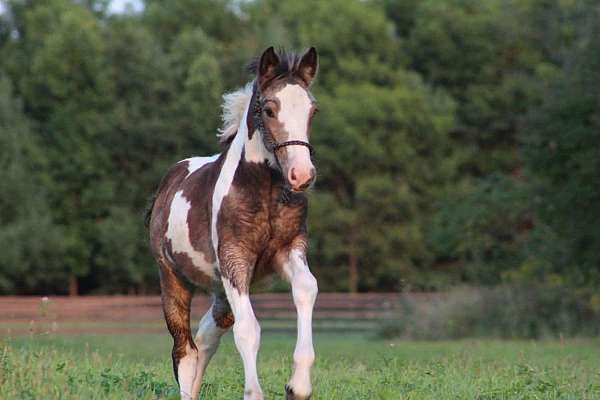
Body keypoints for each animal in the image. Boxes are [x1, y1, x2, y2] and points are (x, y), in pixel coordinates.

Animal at [146, 47, 318, 400]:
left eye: (312, 110)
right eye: (269, 109)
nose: (302, 175)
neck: (264, 192)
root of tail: (166, 185)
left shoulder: (289, 250)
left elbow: (307, 288)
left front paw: (298, 386)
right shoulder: (234, 258)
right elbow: (248, 328)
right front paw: (253, 392)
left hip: (220, 290)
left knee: (206, 337)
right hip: (173, 277)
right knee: (184, 349)